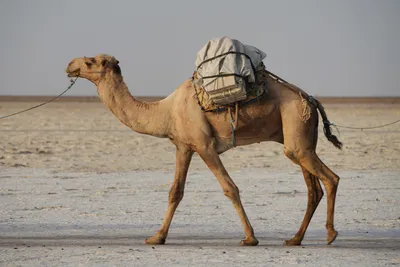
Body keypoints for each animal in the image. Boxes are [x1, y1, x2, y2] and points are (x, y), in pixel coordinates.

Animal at [67, 52, 342, 247]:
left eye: (90, 61)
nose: (70, 65)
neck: (165, 111)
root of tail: (312, 100)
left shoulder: (204, 145)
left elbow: (230, 188)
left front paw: (250, 238)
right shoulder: (183, 146)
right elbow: (175, 192)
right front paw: (157, 237)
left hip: (296, 123)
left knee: (331, 178)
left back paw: (330, 234)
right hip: (298, 138)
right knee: (313, 188)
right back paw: (295, 239)